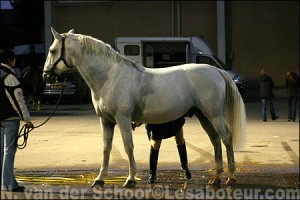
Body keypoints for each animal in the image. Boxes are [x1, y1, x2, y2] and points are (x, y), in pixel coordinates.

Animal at [42, 27, 246, 188]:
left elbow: (128, 146)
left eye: (52, 50)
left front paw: (130, 179)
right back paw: (216, 178)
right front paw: (99, 179)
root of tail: (217, 70)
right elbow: (106, 148)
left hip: (214, 114)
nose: (46, 75)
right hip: (204, 115)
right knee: (215, 139)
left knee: (226, 137)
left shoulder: (123, 119)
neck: (109, 77)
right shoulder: (106, 121)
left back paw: (231, 177)